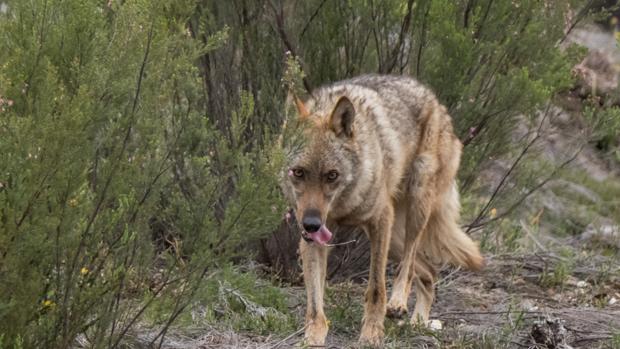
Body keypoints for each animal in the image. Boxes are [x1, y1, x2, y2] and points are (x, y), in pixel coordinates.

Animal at [280, 74, 484, 346]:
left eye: (332, 175)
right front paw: (313, 337)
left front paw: (372, 334)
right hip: (394, 238)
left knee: (408, 266)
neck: (343, 204)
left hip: (414, 209)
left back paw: (398, 303)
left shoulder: (379, 221)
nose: (311, 224)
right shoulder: (313, 240)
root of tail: (436, 102)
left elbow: (376, 288)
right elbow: (314, 302)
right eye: (298, 172)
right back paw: (418, 322)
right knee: (429, 272)